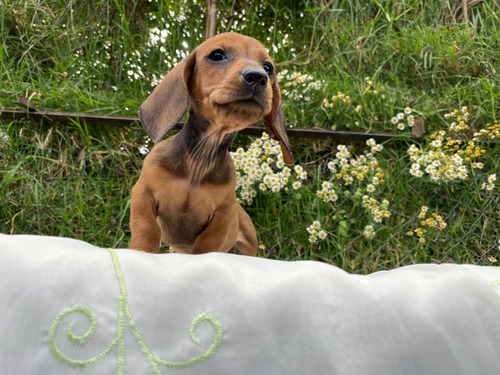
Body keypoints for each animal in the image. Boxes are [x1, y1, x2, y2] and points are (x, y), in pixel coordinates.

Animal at [130, 33, 292, 256]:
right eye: (217, 55)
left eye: (268, 67)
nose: (258, 77)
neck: (199, 161)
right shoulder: (143, 194)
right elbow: (147, 227)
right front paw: (141, 252)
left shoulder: (222, 215)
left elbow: (206, 246)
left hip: (249, 239)